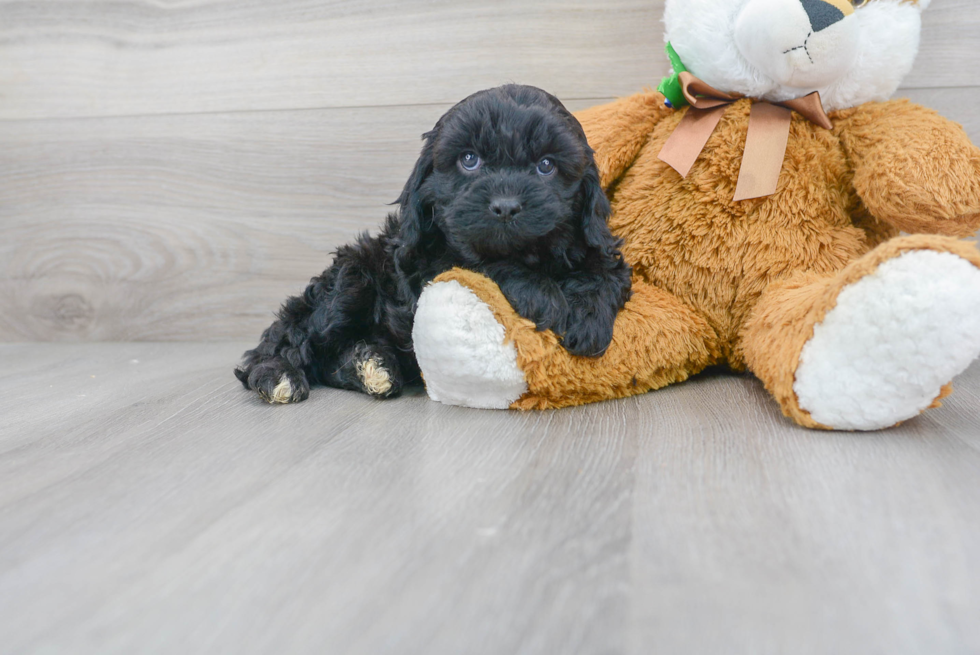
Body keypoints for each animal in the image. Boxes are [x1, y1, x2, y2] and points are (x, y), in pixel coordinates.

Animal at [239, 86, 636, 404]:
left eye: (546, 165)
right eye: (469, 160)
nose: (506, 206)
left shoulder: (595, 242)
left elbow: (606, 271)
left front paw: (587, 318)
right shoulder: (430, 263)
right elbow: (486, 265)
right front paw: (546, 297)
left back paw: (373, 367)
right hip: (351, 282)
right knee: (293, 337)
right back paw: (278, 375)